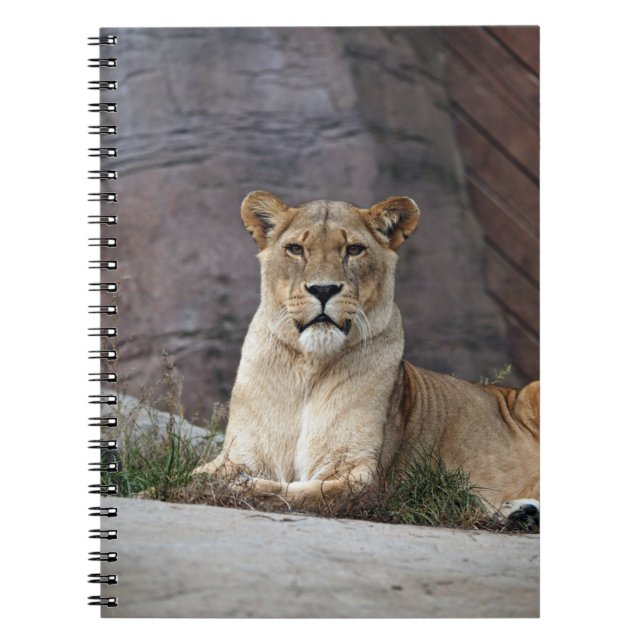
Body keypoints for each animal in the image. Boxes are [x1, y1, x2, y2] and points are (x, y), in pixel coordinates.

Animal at [194, 191, 539, 520]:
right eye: (295, 249)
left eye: (354, 250)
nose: (323, 290)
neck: (309, 366)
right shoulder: (241, 453)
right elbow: (199, 474)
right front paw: (217, 480)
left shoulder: (362, 476)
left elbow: (299, 492)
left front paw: (241, 487)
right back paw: (518, 513)